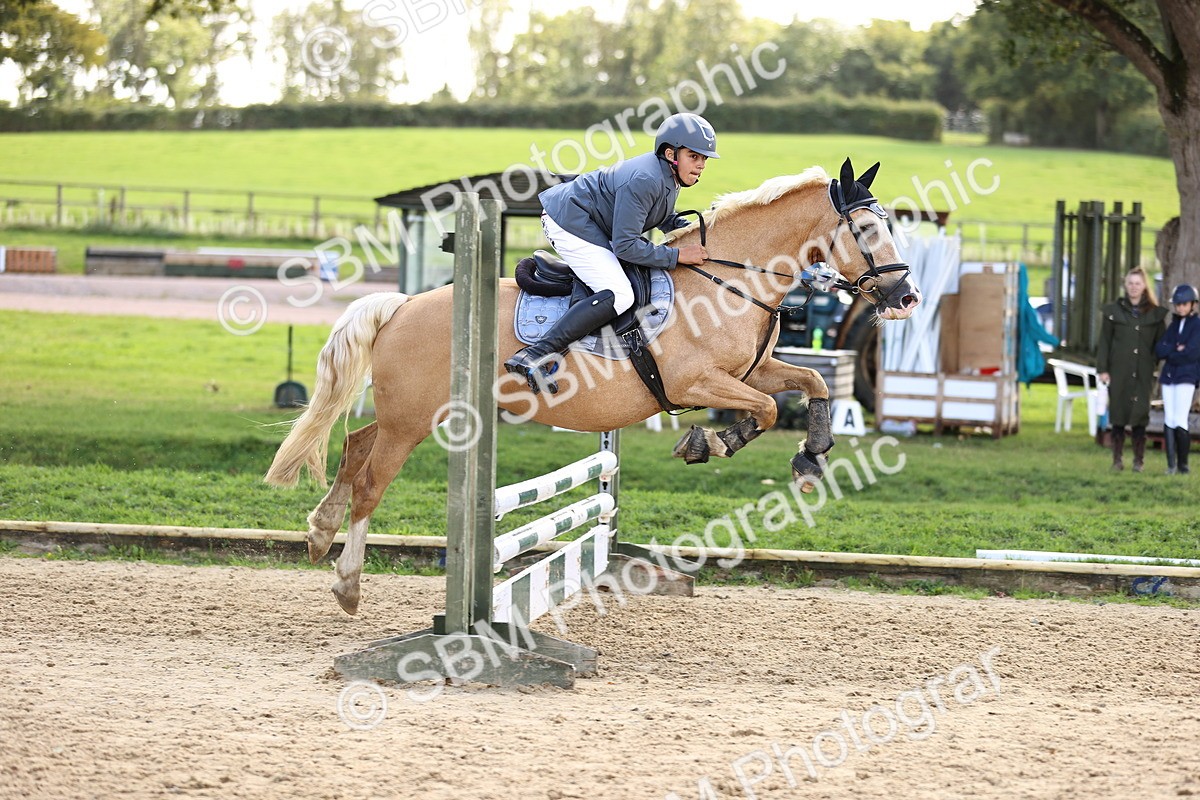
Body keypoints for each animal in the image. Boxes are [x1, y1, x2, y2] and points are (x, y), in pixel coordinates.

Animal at [264, 158, 922, 614]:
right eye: (868, 227)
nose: (906, 297)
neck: (732, 280)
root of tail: (400, 306)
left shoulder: (746, 372)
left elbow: (810, 382)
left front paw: (811, 456)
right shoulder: (699, 382)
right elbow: (761, 411)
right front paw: (709, 444)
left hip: (414, 412)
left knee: (355, 446)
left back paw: (318, 535)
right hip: (414, 421)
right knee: (371, 481)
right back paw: (348, 584)